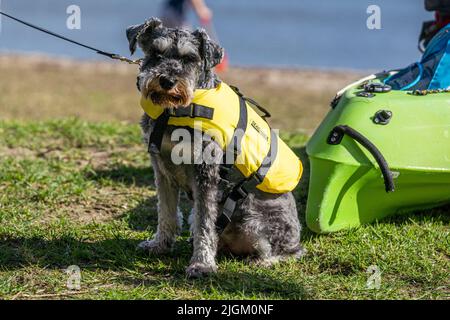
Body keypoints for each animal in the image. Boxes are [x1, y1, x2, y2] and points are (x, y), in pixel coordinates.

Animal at [125, 17, 304, 278]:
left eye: (190, 58)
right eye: (156, 53)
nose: (167, 81)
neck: (173, 113)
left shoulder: (206, 174)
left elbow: (205, 223)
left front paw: (202, 265)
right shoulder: (162, 169)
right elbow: (166, 212)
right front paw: (160, 245)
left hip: (253, 220)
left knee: (281, 252)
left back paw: (261, 261)